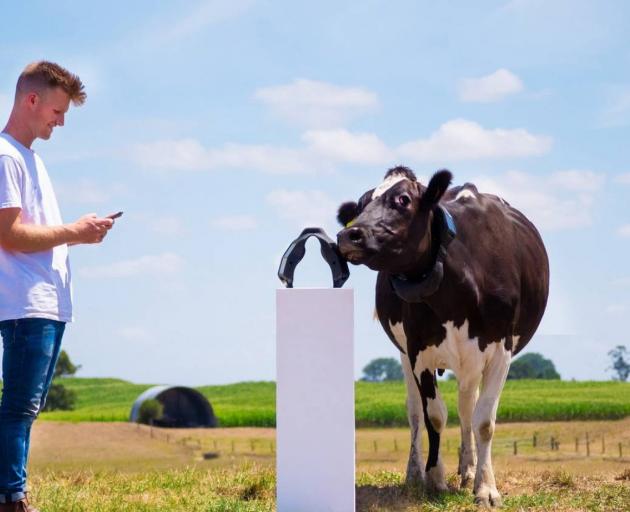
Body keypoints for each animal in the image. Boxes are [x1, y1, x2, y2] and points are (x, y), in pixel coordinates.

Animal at [338, 166, 552, 506]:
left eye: (403, 199)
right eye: (360, 204)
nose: (349, 234)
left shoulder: (500, 351)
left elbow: (484, 421)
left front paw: (485, 487)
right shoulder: (418, 351)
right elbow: (434, 415)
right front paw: (434, 479)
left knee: (468, 407)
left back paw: (468, 469)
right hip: (406, 353)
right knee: (416, 412)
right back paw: (416, 473)